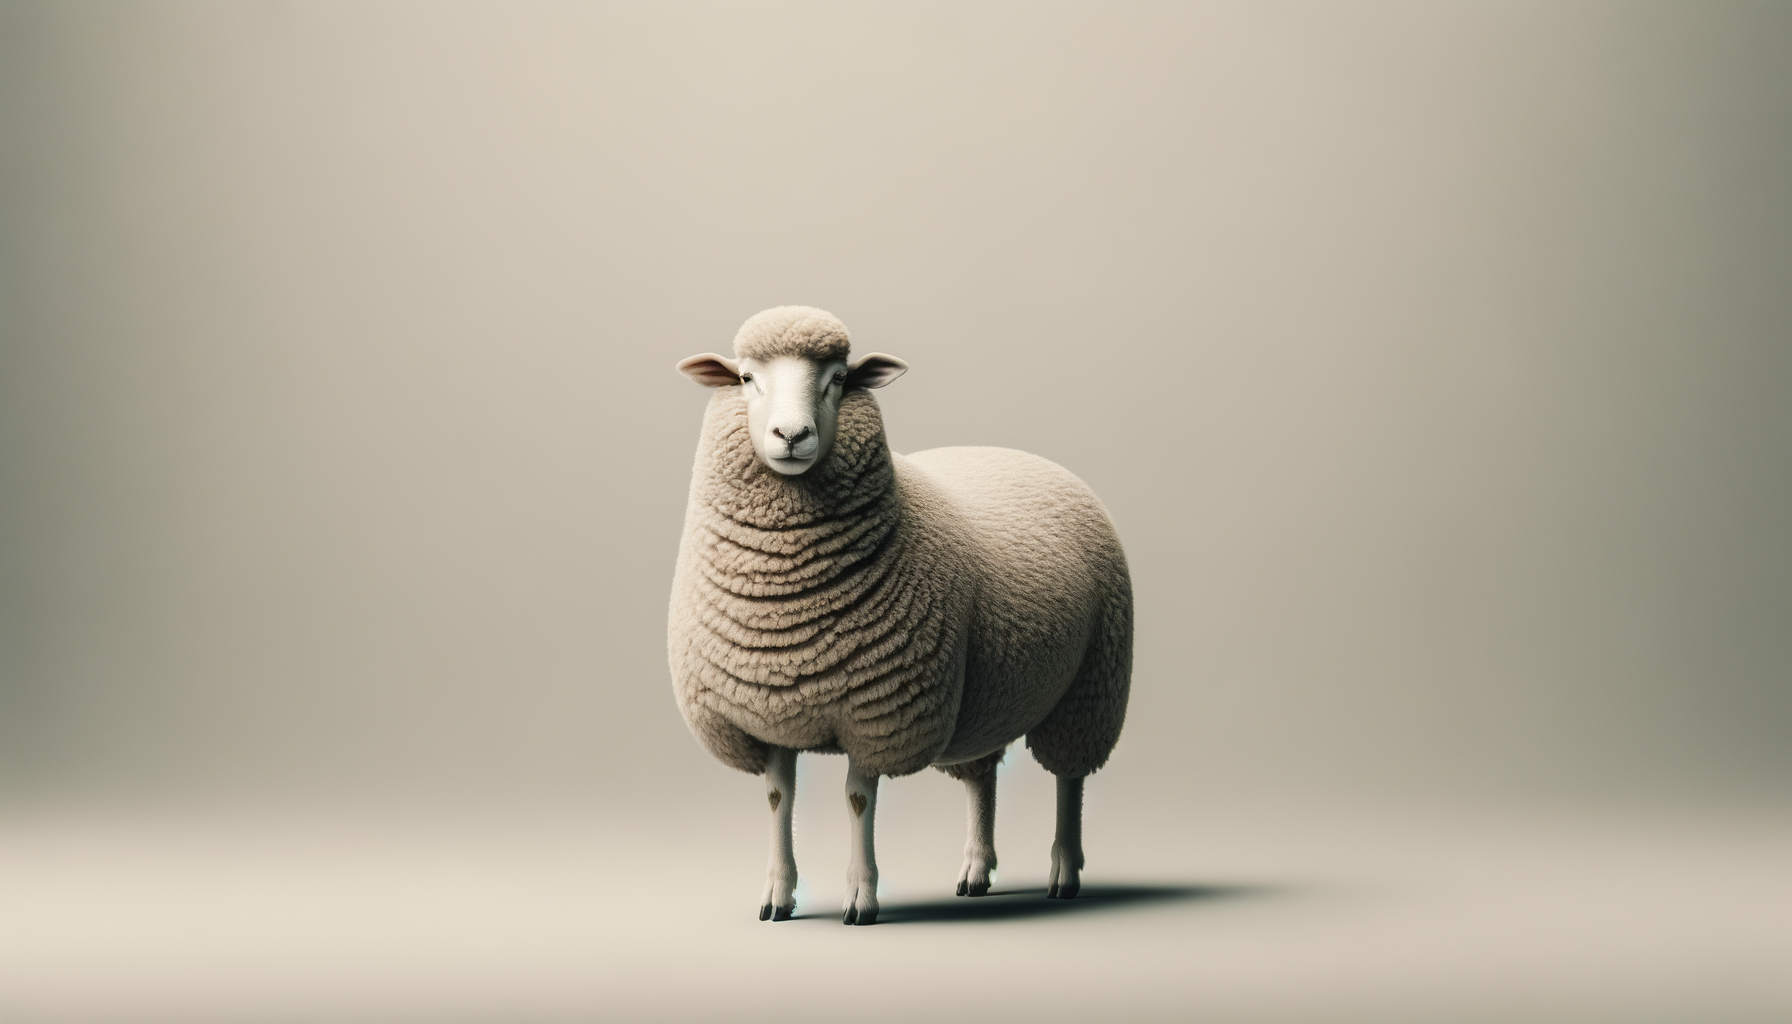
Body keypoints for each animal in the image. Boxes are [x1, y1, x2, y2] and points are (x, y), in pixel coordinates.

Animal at [668, 306, 1131, 925]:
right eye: (745, 378)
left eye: (840, 378)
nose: (791, 436)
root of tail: (1020, 455)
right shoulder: (766, 716)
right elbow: (777, 798)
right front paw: (776, 895)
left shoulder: (879, 711)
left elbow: (858, 799)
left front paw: (861, 898)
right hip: (986, 699)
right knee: (982, 777)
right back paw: (976, 869)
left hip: (1092, 685)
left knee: (1069, 778)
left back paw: (1064, 871)